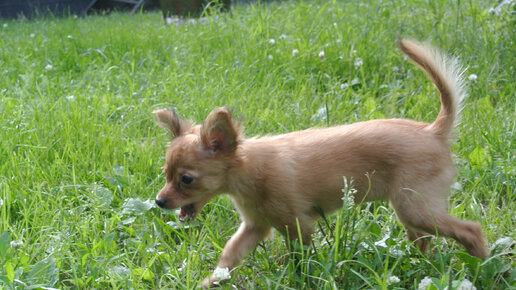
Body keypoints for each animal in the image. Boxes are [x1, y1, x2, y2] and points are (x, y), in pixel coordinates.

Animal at [152, 39, 488, 286]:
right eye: (166, 175)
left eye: (186, 180)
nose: (158, 201)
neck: (248, 172)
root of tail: (433, 131)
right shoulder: (254, 227)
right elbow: (229, 257)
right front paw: (210, 281)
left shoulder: (298, 226)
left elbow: (300, 261)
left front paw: (299, 279)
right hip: (411, 209)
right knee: (423, 240)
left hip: (414, 207)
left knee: (471, 230)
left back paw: (484, 265)